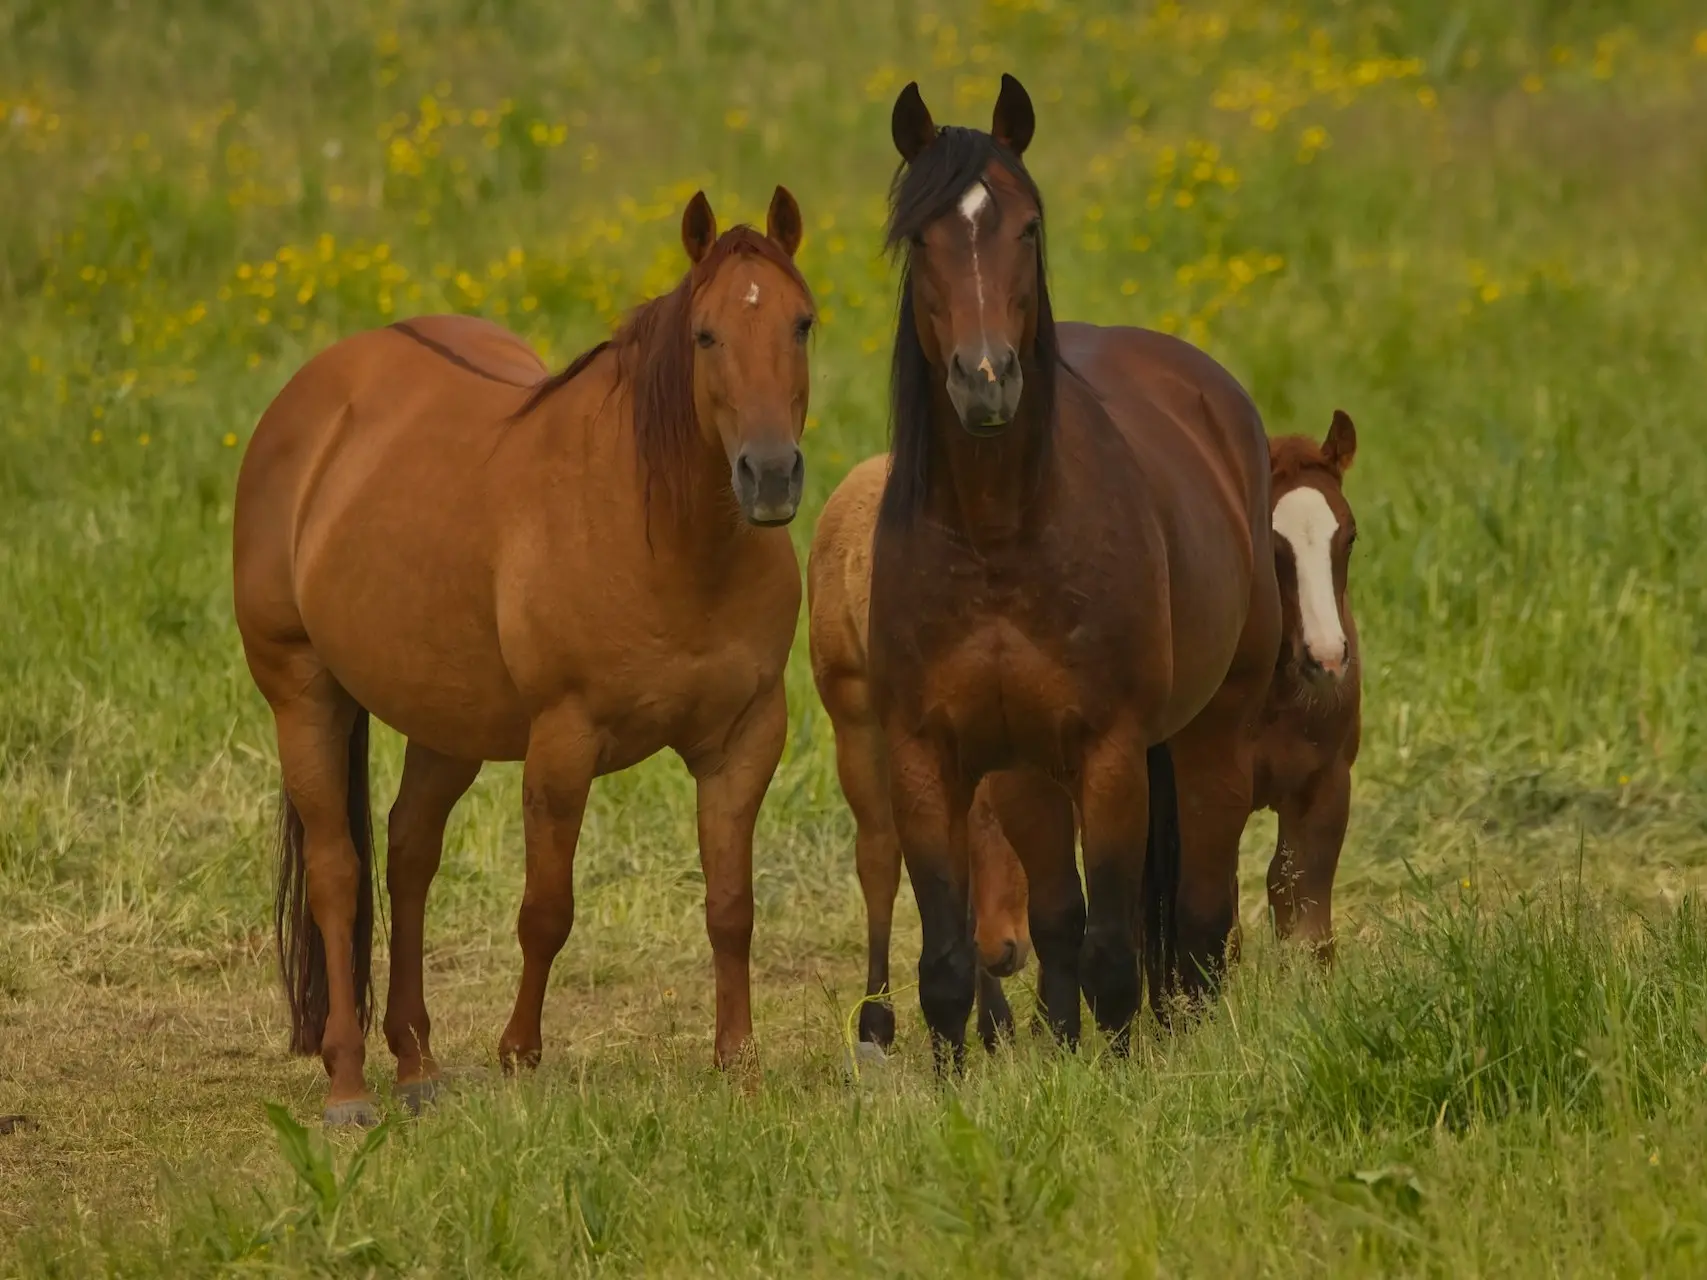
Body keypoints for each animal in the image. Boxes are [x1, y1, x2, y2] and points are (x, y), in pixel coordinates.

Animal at [233, 187, 812, 1119]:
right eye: (705, 335)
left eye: (802, 323)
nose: (769, 476)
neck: (665, 533)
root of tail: (309, 403)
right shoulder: (563, 743)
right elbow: (546, 910)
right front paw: (518, 1057)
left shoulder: (744, 741)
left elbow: (731, 907)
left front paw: (739, 1067)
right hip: (303, 694)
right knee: (337, 873)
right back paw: (350, 1083)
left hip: (445, 724)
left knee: (408, 857)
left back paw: (418, 1064)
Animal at [867, 75, 1283, 1064]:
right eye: (922, 237)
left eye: (1026, 226)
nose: (985, 381)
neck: (996, 535)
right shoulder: (924, 757)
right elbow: (950, 964)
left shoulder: (1112, 754)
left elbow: (1114, 951)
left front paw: (1123, 1071)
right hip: (1028, 771)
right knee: (1057, 917)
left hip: (1213, 730)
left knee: (1197, 918)